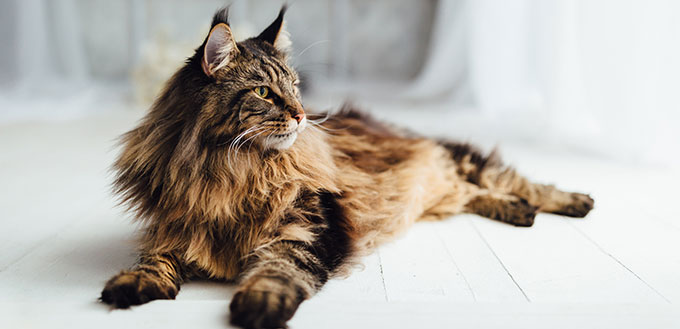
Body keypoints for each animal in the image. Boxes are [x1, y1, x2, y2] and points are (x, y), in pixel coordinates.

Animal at [101, 7, 596, 328]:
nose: (302, 114)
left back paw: (574, 201)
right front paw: (131, 283)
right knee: (475, 195)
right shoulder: (178, 228)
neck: (228, 170)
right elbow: (153, 262)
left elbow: (280, 269)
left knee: (520, 182)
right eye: (263, 93)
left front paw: (260, 303)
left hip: (461, 159)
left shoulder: (311, 227)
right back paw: (517, 211)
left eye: (295, 87)